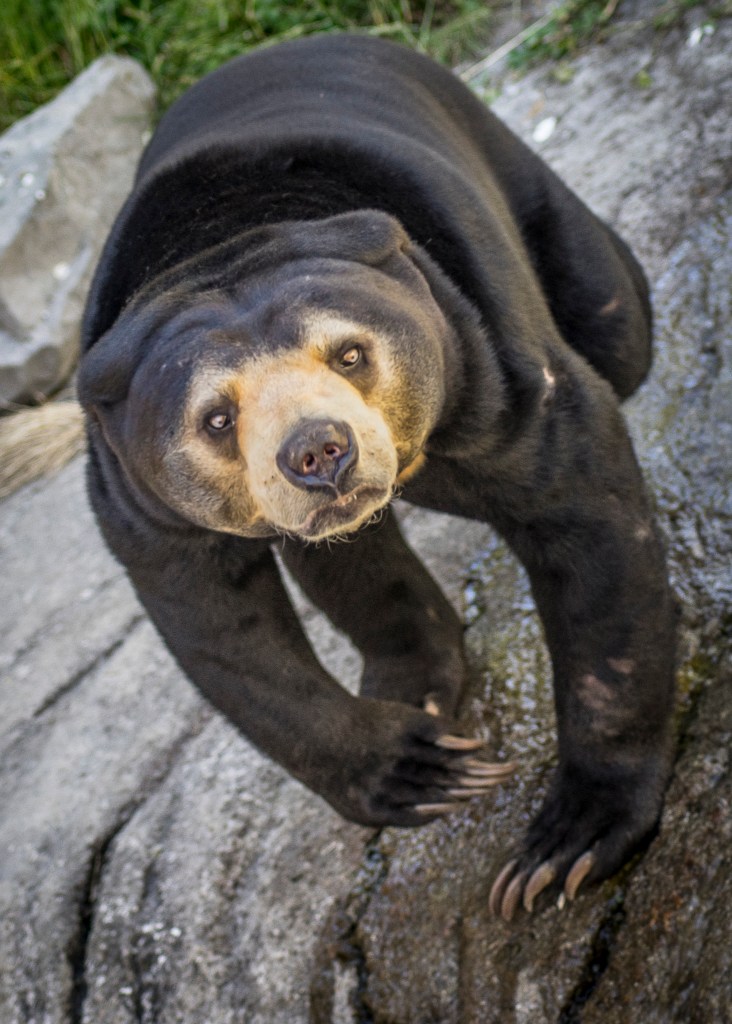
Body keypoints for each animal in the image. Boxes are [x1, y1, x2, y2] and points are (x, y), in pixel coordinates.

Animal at [77, 33, 676, 921]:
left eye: (350, 353)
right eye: (215, 417)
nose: (320, 452)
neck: (223, 239)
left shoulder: (494, 360)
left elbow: (586, 524)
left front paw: (567, 844)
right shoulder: (138, 499)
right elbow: (223, 628)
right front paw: (423, 768)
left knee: (615, 316)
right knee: (347, 559)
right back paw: (415, 683)